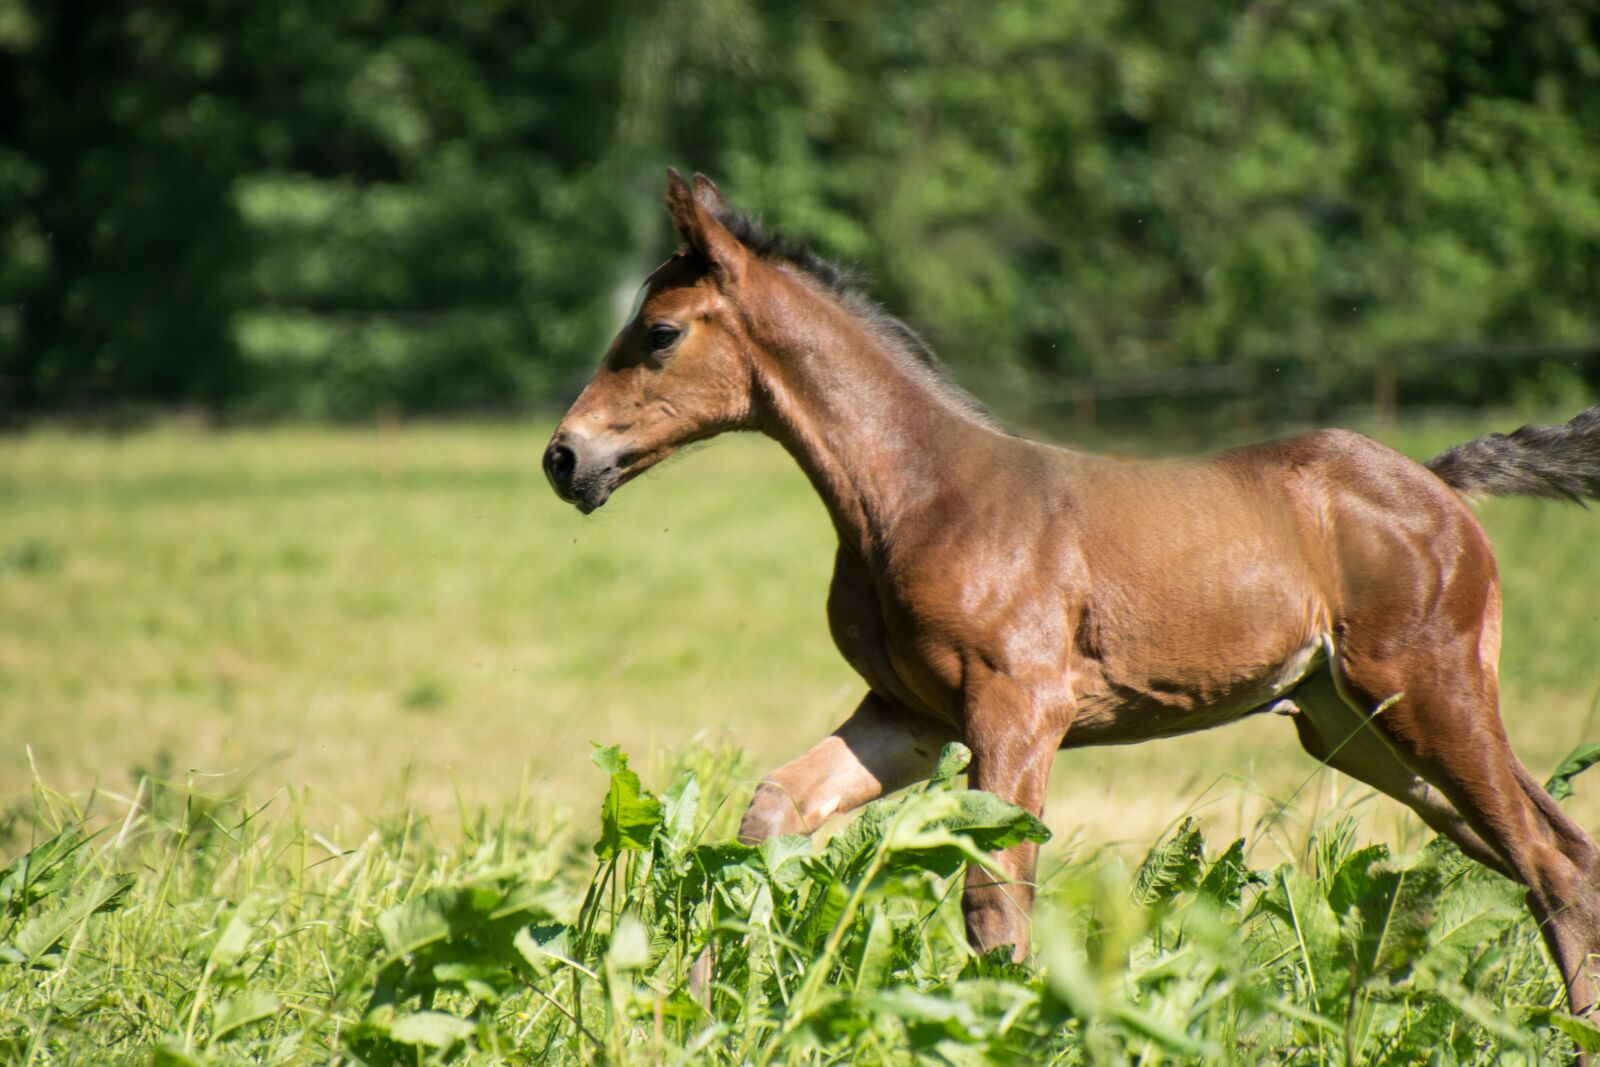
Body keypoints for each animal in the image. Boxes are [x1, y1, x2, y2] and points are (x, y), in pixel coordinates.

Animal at [544, 169, 1600, 1018]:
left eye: (658, 333)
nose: (565, 458)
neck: (916, 494)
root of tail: (1437, 484)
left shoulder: (1018, 709)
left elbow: (994, 898)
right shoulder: (909, 715)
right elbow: (766, 816)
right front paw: (699, 1002)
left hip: (1430, 693)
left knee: (1547, 861)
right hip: (1358, 729)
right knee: (1559, 849)